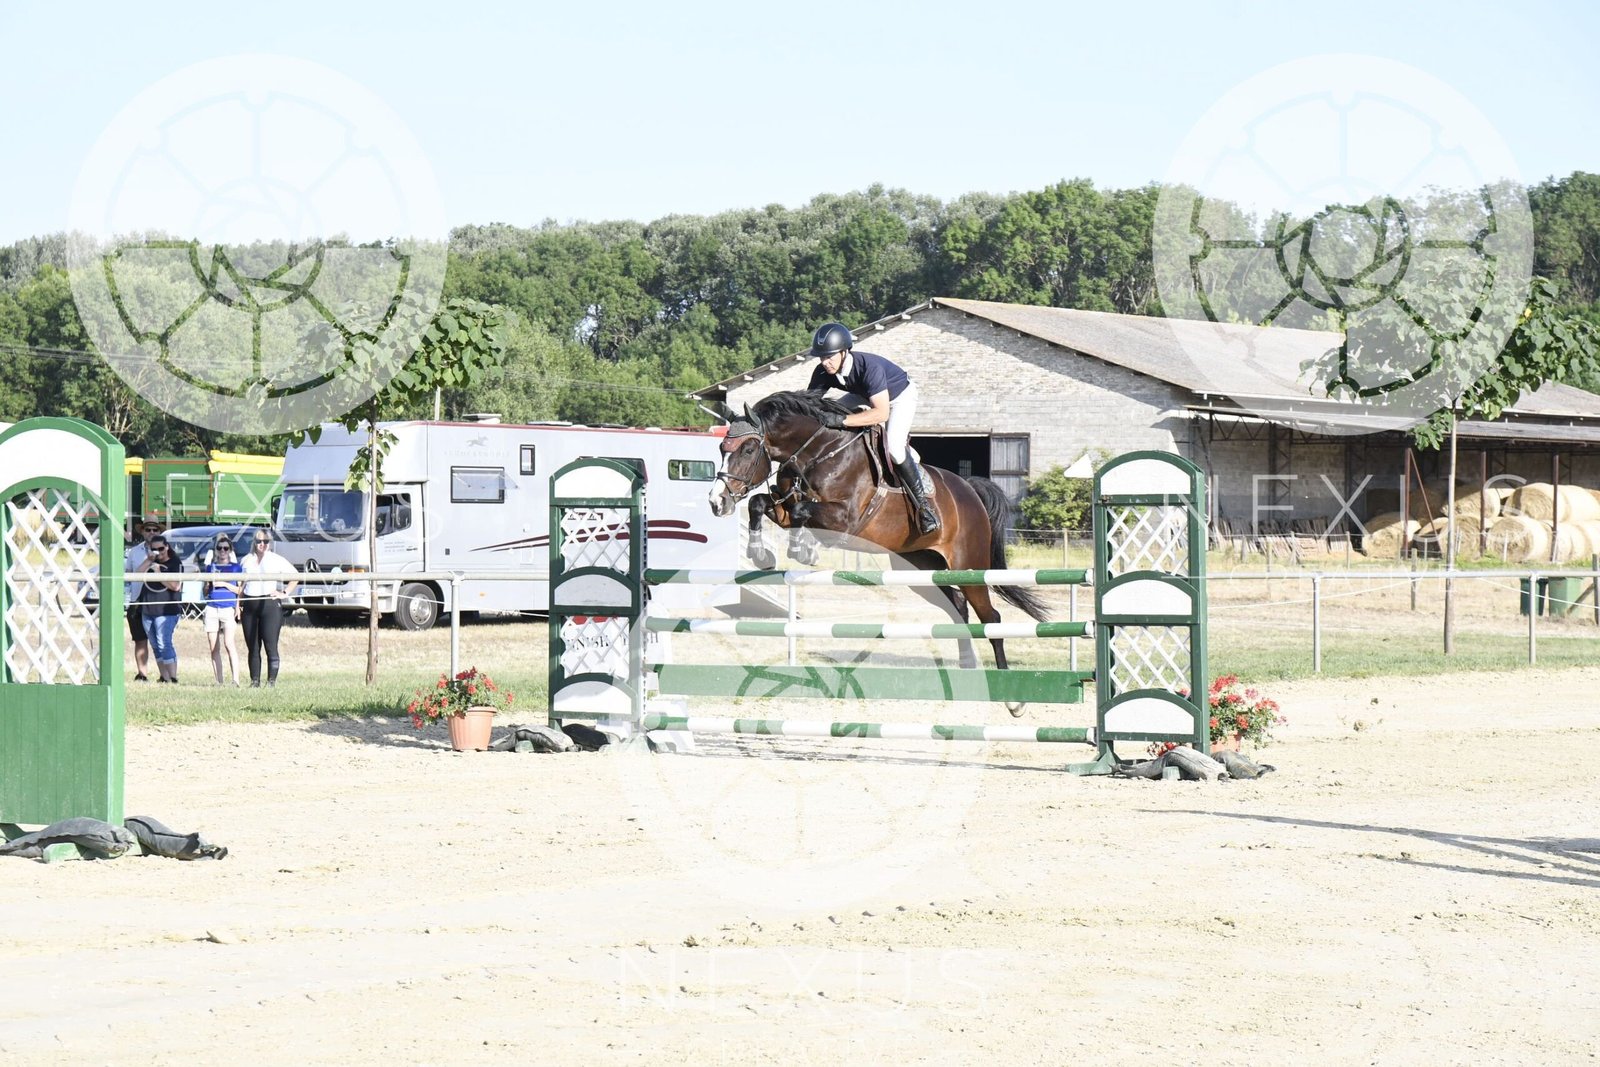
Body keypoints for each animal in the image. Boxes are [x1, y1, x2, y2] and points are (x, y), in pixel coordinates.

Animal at [707, 390, 1050, 703]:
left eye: (749, 449)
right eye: (722, 448)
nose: (716, 502)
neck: (818, 453)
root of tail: (970, 490)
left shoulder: (845, 520)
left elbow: (803, 510)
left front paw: (802, 549)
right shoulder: (784, 505)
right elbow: (761, 502)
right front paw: (762, 554)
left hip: (968, 565)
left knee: (991, 617)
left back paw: (1010, 694)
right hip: (919, 568)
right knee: (958, 608)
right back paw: (967, 667)